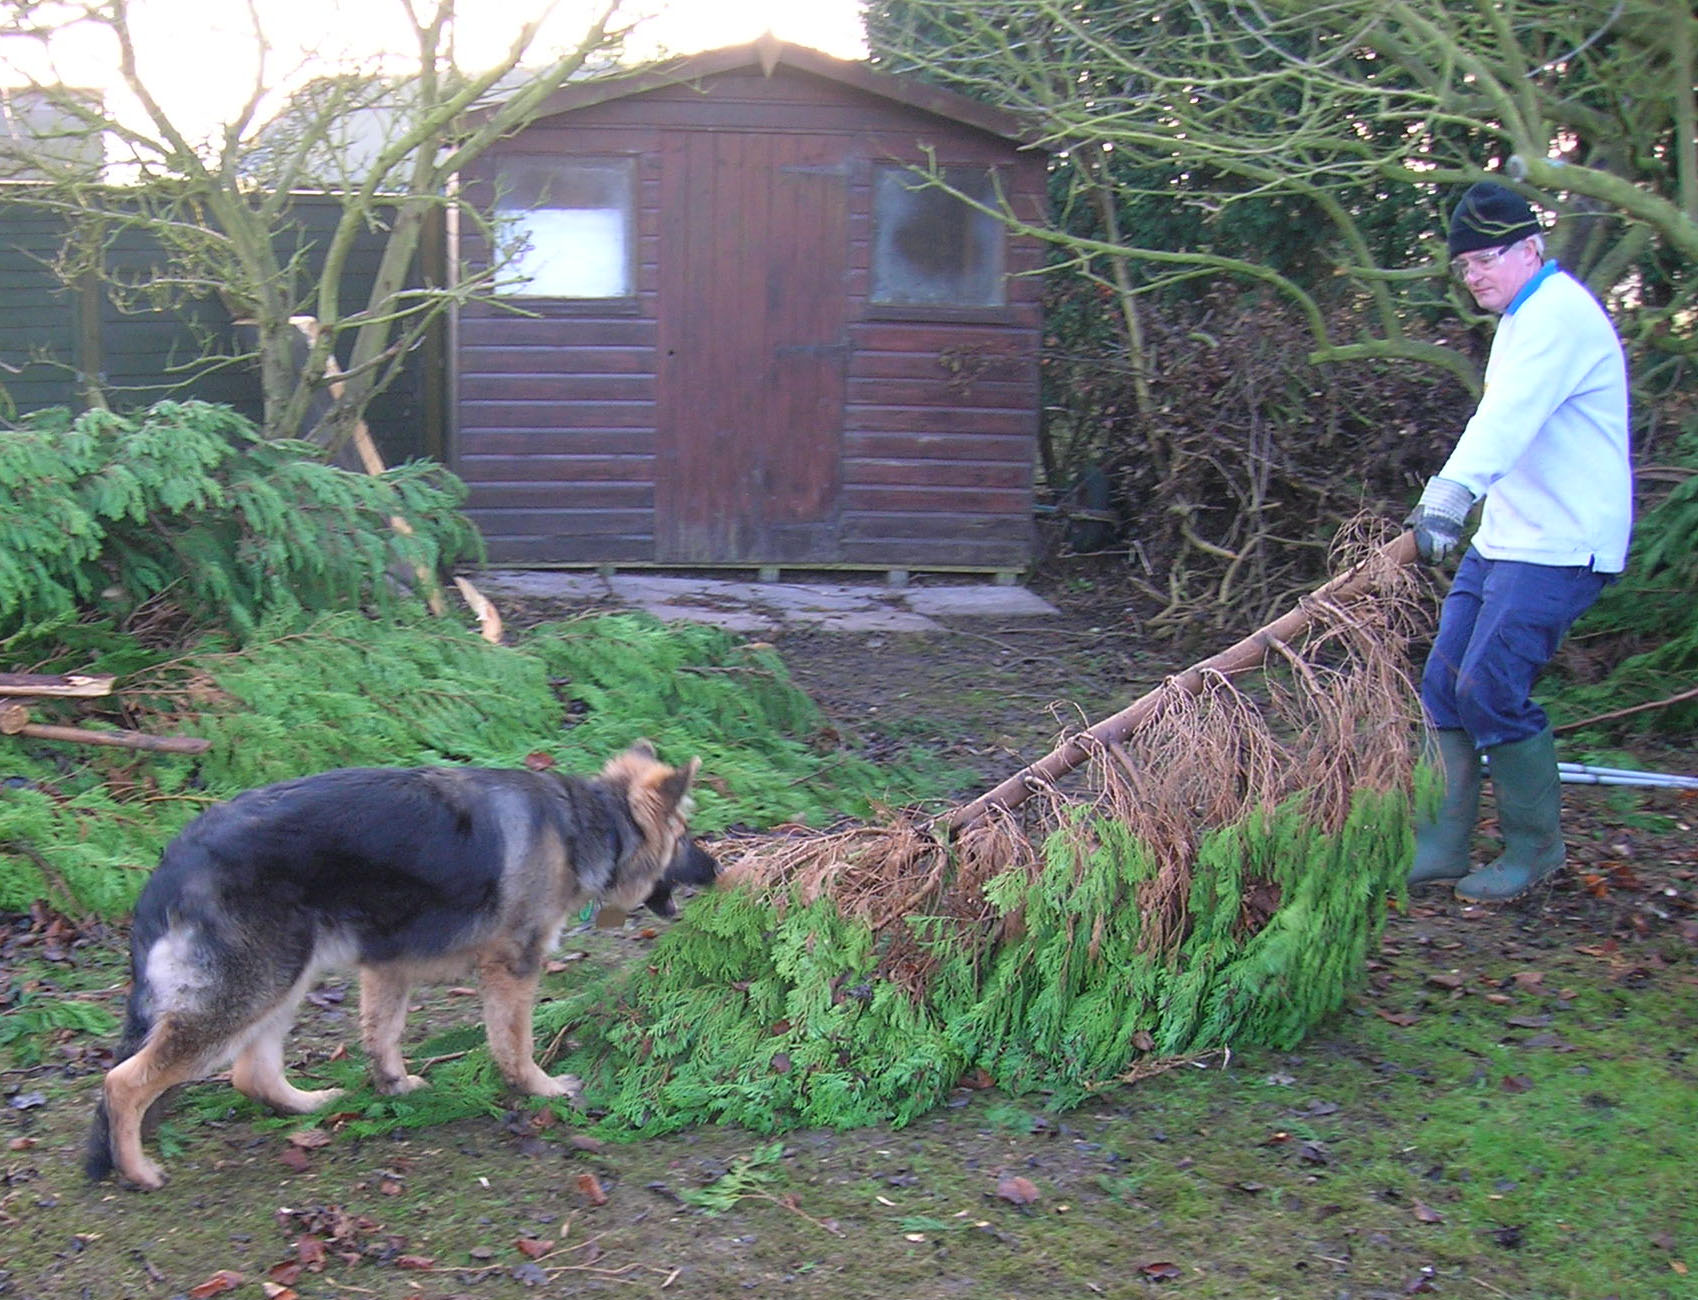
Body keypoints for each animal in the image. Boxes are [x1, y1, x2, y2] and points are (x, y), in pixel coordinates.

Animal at [84, 743, 709, 1194]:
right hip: (248, 993)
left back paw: (309, 1104)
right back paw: (137, 1172)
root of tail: (174, 859)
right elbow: (514, 1042)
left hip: (283, 981)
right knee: (122, 1083)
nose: (717, 870)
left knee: (251, 1074)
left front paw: (395, 1085)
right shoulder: (512, 967)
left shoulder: (387, 966)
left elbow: (383, 1034)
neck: (588, 821)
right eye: (684, 837)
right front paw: (541, 1089)